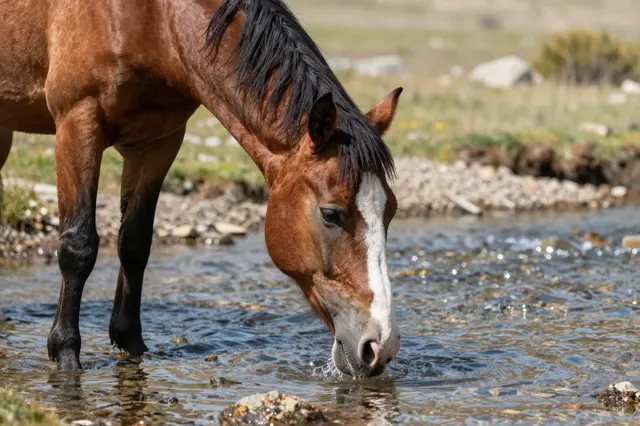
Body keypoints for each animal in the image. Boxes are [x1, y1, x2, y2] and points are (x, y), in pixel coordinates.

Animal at [0, 0, 403, 378]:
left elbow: (135, 243)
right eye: (330, 214)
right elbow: (78, 246)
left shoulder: (160, 141)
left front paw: (132, 344)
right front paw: (66, 354)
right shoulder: (77, 121)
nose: (379, 346)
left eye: (391, 211)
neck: (151, 21)